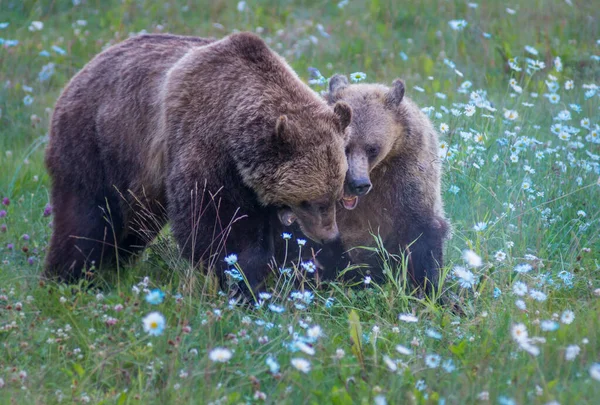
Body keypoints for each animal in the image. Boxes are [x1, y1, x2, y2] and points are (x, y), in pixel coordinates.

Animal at [43, 33, 352, 292]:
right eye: (309, 201)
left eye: (336, 195)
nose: (329, 235)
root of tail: (84, 68)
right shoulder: (205, 146)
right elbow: (215, 224)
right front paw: (246, 278)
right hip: (98, 142)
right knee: (86, 215)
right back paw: (69, 274)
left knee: (135, 224)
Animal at [278, 75, 448, 290]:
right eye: (344, 146)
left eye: (372, 148)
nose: (357, 183)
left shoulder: (408, 175)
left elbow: (422, 232)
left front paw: (428, 286)